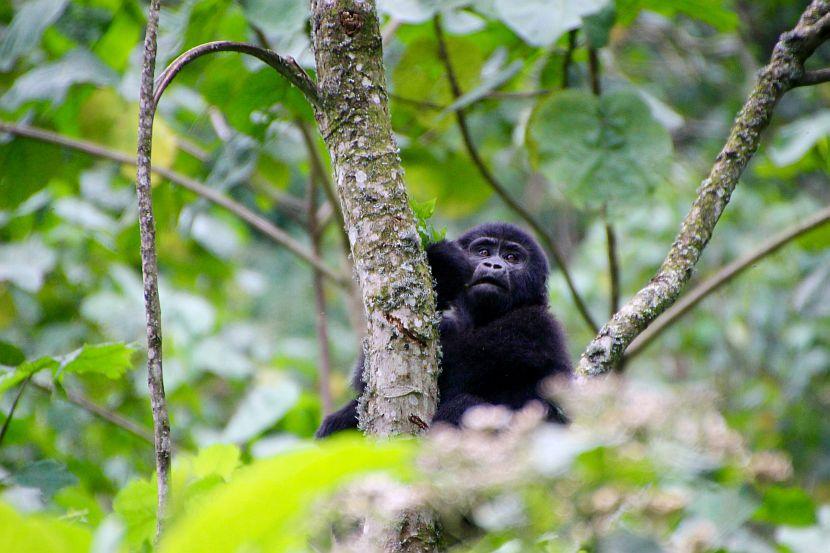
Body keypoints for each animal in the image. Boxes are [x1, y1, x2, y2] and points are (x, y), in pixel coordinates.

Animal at [316, 220, 572, 436]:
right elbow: (368, 377)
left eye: (512, 257)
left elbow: (458, 365)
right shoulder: (448, 324)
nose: (493, 265)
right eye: (483, 252)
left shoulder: (535, 325)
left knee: (463, 407)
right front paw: (442, 268)